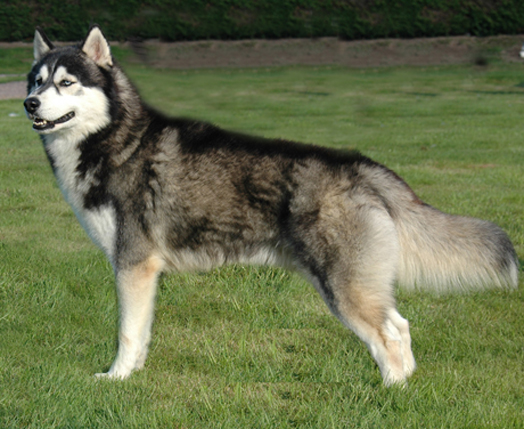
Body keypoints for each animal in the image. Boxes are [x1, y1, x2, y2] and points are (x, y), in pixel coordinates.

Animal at [22, 25, 516, 384]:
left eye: (67, 83)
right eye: (37, 81)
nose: (28, 103)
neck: (115, 140)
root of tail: (362, 166)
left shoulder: (133, 264)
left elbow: (126, 332)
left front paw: (117, 378)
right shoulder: (142, 272)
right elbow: (141, 333)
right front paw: (136, 374)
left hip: (343, 286)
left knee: (387, 334)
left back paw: (390, 392)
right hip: (358, 279)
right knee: (402, 325)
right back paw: (405, 383)